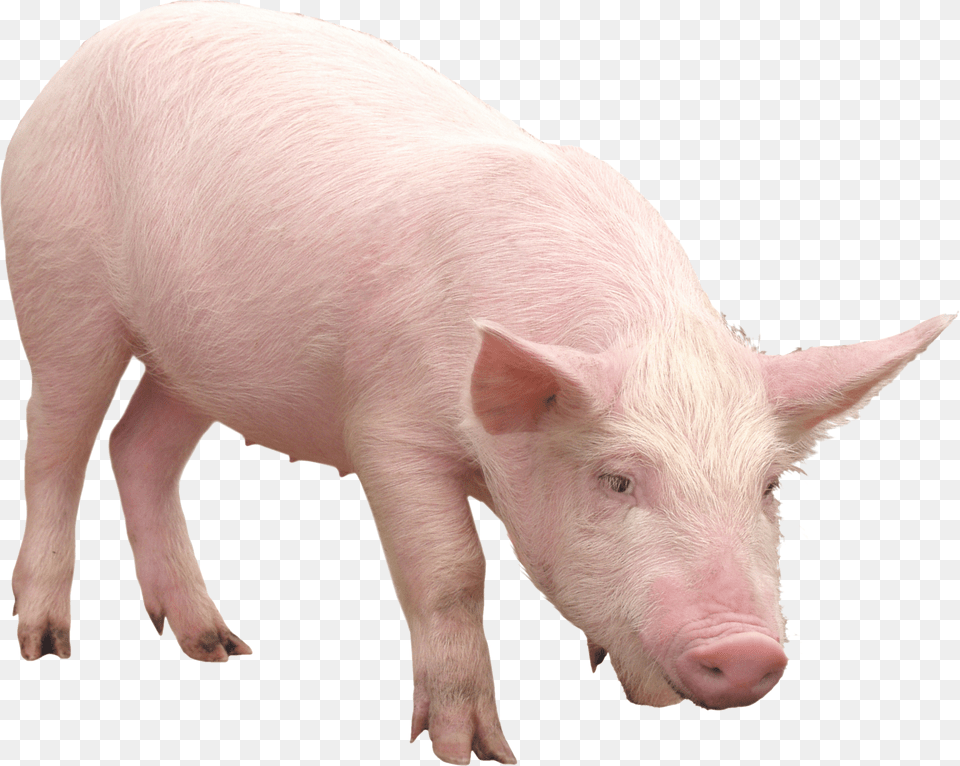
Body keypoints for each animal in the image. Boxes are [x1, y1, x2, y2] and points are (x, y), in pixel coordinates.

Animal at [2, 2, 952, 764]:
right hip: (59, 284)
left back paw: (217, 645)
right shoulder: (387, 430)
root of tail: (87, 55)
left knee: (139, 448)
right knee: (56, 439)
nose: (750, 653)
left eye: (768, 489)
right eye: (616, 480)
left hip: (195, 358)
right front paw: (477, 750)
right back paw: (47, 644)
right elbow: (454, 570)